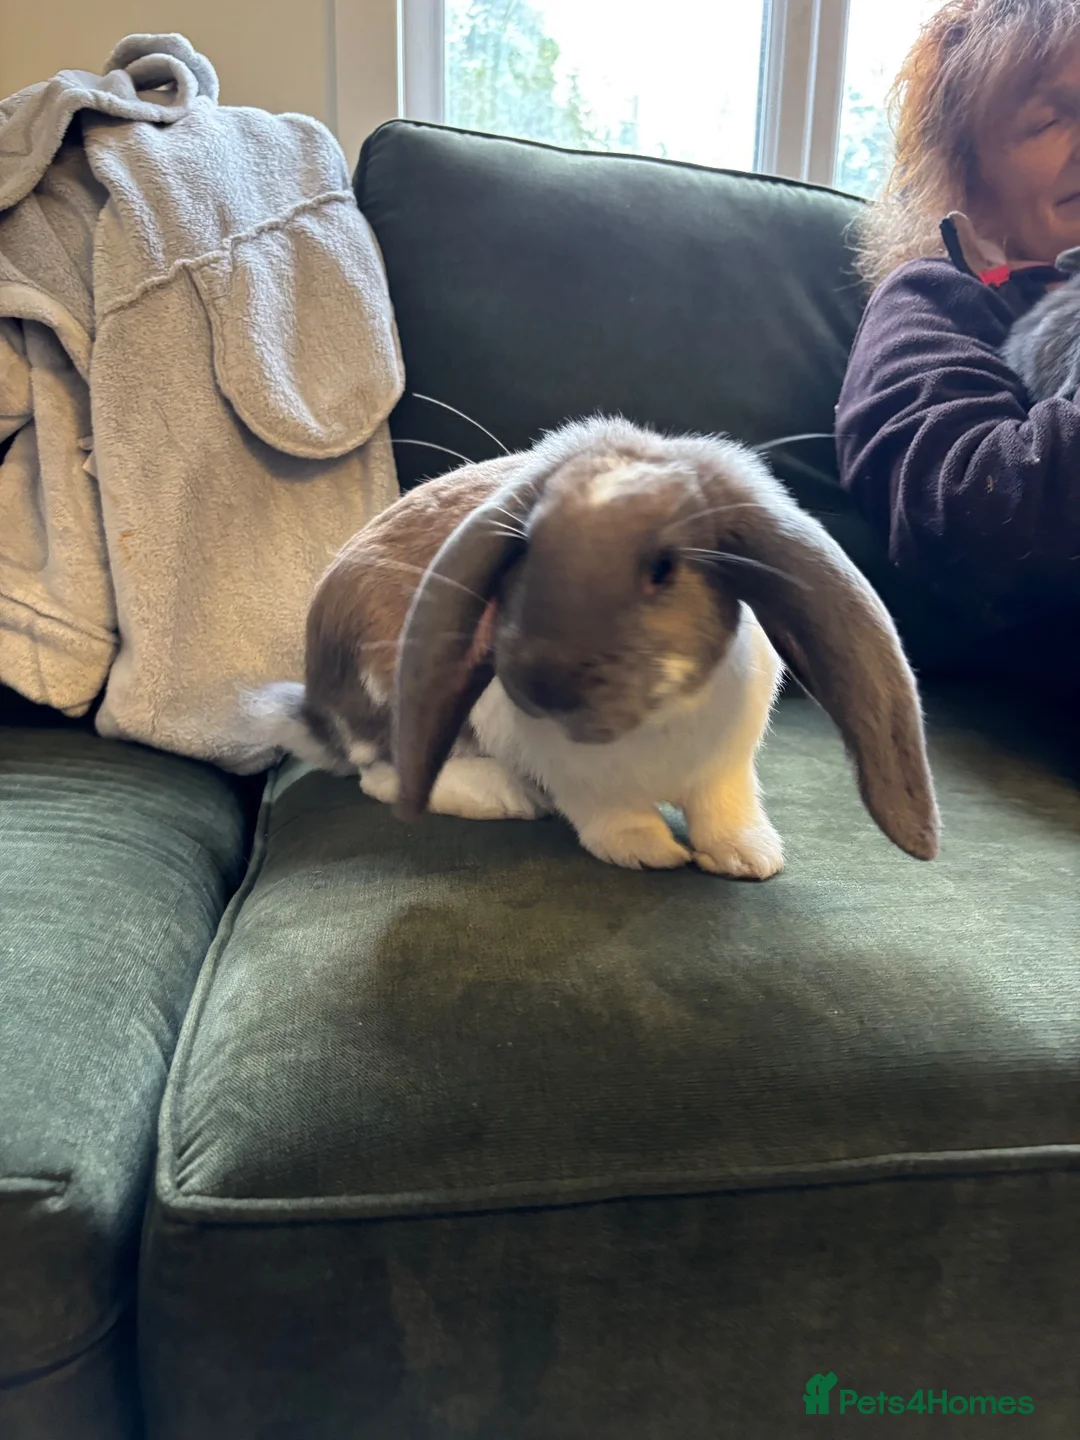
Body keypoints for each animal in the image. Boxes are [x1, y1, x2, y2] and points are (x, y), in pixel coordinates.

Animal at [245, 415, 939, 876]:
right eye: (523, 550)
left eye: (664, 568)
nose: (540, 681)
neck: (656, 725)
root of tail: (315, 705)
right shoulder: (576, 778)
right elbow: (613, 815)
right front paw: (652, 852)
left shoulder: (727, 769)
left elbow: (727, 809)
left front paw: (748, 857)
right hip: (383, 696)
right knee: (377, 773)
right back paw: (505, 796)